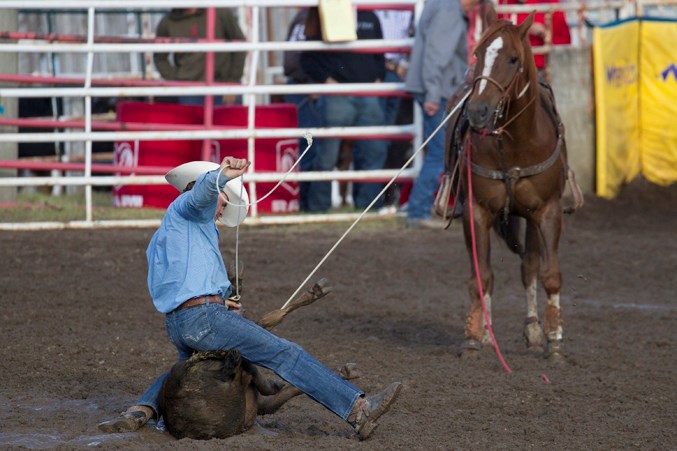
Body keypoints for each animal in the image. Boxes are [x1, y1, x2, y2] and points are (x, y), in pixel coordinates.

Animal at [446, 9, 584, 360]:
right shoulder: (476, 212)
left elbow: (549, 274)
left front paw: (554, 340)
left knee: (529, 266)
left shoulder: (548, 212)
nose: (478, 111)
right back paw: (486, 333)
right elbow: (481, 275)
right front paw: (473, 337)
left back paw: (535, 331)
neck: (517, 143)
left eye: (512, 59)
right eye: (477, 54)